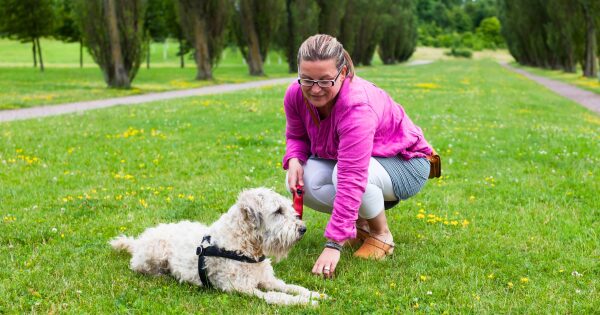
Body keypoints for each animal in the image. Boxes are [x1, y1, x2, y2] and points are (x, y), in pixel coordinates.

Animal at [112, 188, 328, 306]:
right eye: (278, 211)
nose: (303, 229)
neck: (244, 246)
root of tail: (138, 242)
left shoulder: (268, 280)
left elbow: (292, 287)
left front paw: (315, 294)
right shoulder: (244, 289)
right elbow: (278, 297)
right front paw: (306, 303)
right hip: (154, 254)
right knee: (138, 267)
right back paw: (163, 275)